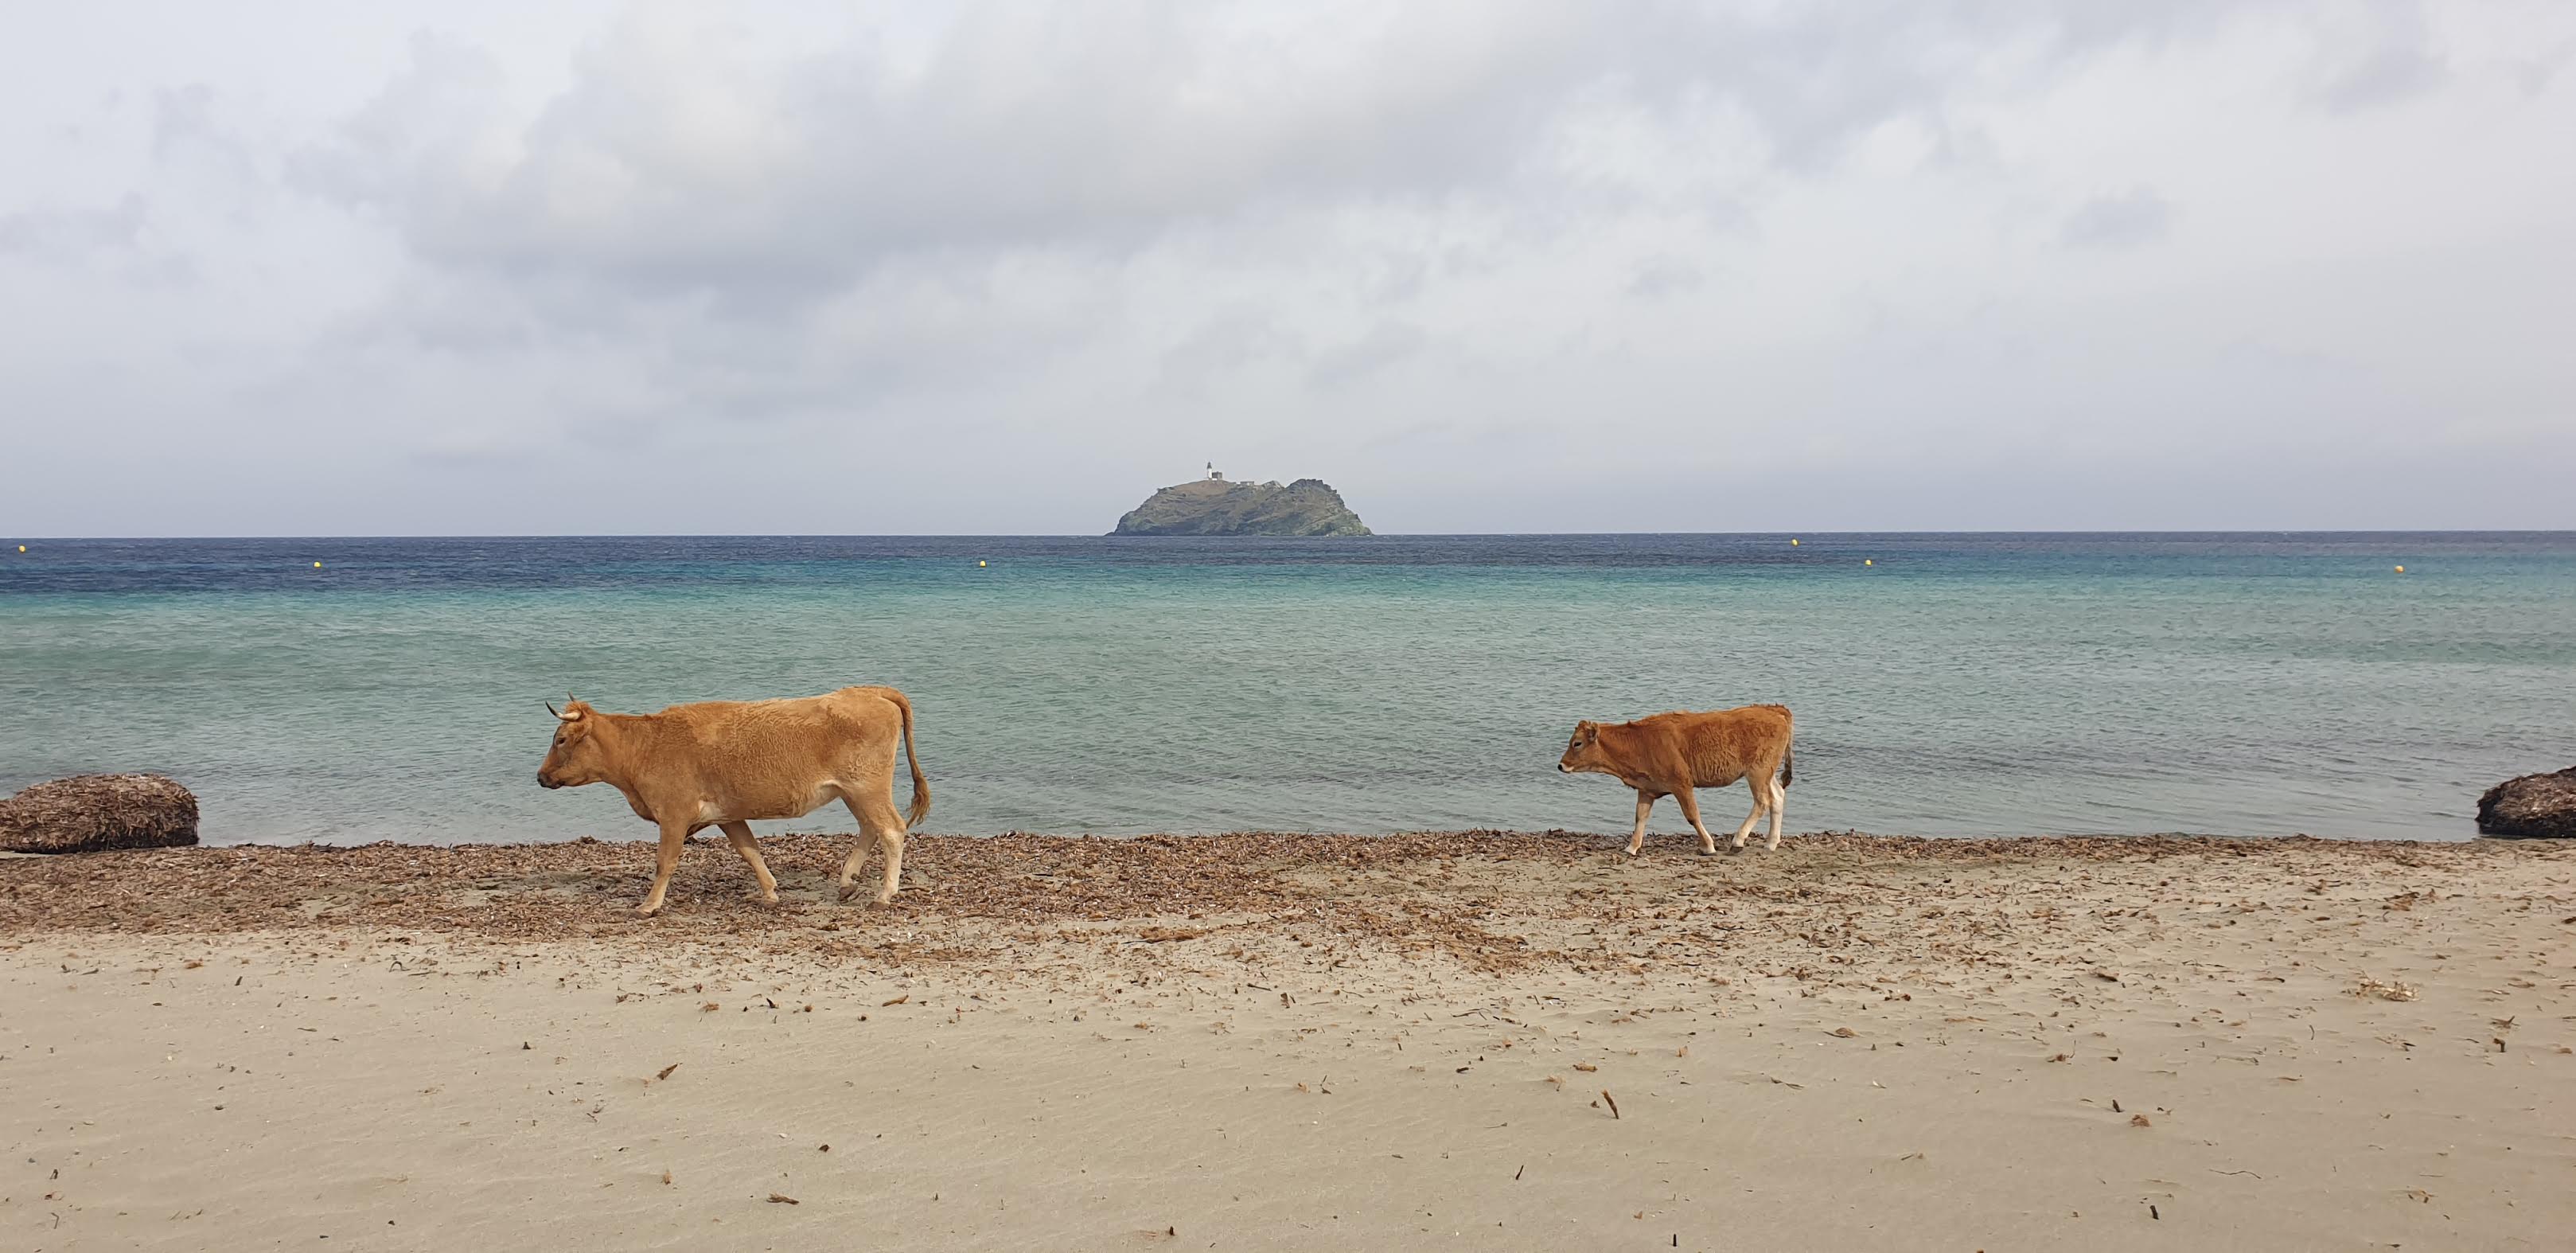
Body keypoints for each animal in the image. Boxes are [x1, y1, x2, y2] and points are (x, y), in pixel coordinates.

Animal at [535, 686, 930, 915]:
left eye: (561, 739)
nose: (540, 777)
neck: (647, 745)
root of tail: (872, 691)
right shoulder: (728, 815)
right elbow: (749, 851)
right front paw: (769, 893)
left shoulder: (674, 814)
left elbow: (665, 862)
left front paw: (648, 905)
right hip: (854, 792)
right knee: (869, 828)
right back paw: (848, 881)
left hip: (867, 788)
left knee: (891, 831)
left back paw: (884, 894)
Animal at [1557, 704, 1794, 857]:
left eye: (1577, 743)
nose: (1561, 765)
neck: (1640, 741)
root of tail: (1774, 710)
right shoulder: (1646, 789)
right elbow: (1640, 817)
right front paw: (1631, 848)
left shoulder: (1682, 784)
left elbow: (1692, 816)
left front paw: (1708, 846)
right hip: (1766, 773)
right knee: (1777, 797)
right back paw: (1771, 843)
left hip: (1757, 772)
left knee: (1762, 802)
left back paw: (1738, 841)